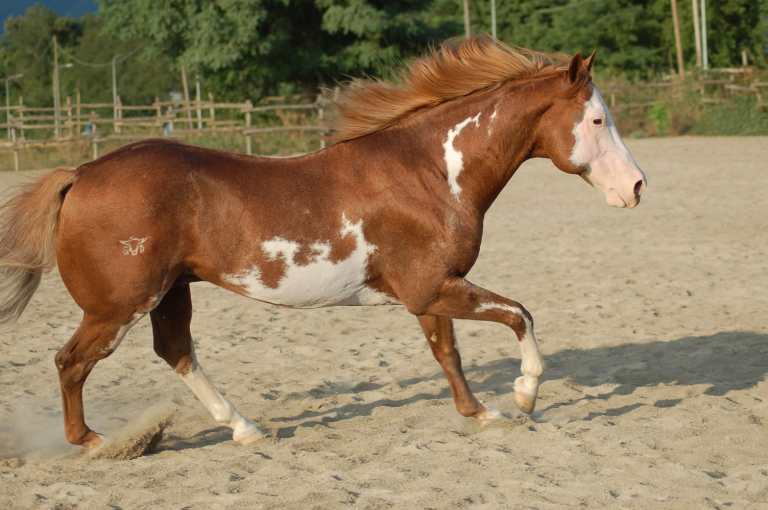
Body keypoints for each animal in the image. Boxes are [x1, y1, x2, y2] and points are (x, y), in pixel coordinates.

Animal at [0, 37, 646, 449]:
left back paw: (245, 429)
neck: (430, 172)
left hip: (170, 293)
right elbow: (520, 316)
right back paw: (93, 441)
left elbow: (449, 354)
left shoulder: (429, 292)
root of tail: (81, 173)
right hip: (117, 305)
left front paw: (481, 414)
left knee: (175, 351)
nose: (637, 187)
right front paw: (523, 399)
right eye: (596, 120)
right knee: (72, 361)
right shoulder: (434, 287)